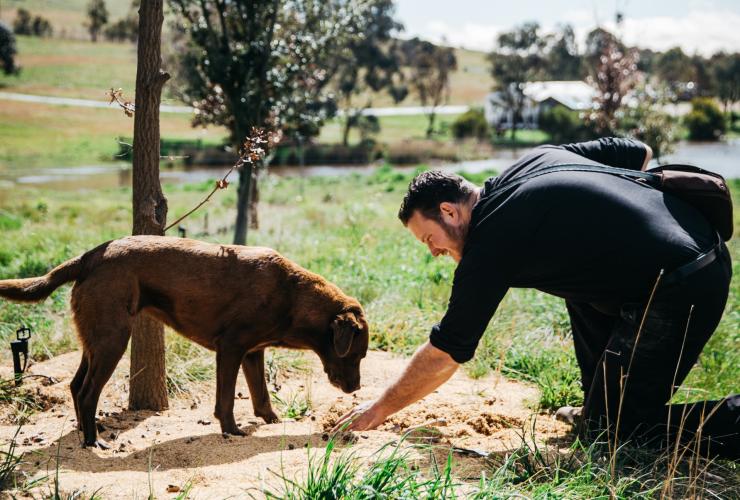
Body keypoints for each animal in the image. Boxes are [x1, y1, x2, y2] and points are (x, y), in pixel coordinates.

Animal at [0, 236, 368, 448]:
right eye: (356, 355)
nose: (356, 389)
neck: (292, 294)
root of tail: (90, 256)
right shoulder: (231, 348)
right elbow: (226, 400)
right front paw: (231, 429)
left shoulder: (253, 352)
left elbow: (261, 396)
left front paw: (273, 421)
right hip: (112, 340)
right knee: (89, 391)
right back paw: (93, 442)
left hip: (96, 339)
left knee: (76, 386)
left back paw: (83, 432)